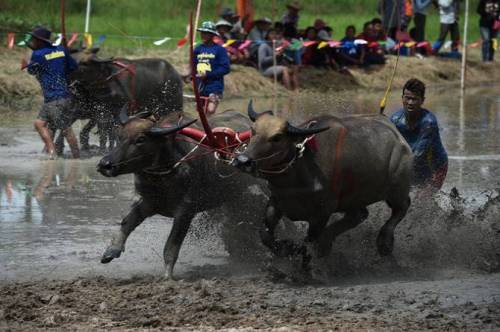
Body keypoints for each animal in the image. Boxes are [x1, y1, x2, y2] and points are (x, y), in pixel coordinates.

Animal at [98, 108, 270, 278]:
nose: (105, 164)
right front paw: (111, 251)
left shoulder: (185, 211)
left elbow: (171, 246)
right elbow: (127, 223)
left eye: (140, 139)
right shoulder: (147, 202)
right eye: (120, 136)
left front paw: (167, 276)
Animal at [232, 101, 412, 264]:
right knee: (359, 215)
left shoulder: (322, 212)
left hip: (397, 190)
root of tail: (400, 138)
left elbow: (308, 244)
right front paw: (286, 248)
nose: (242, 161)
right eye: (253, 130)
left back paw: (384, 242)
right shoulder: (277, 201)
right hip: (353, 199)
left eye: (277, 137)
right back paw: (327, 243)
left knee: (402, 208)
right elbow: (265, 235)